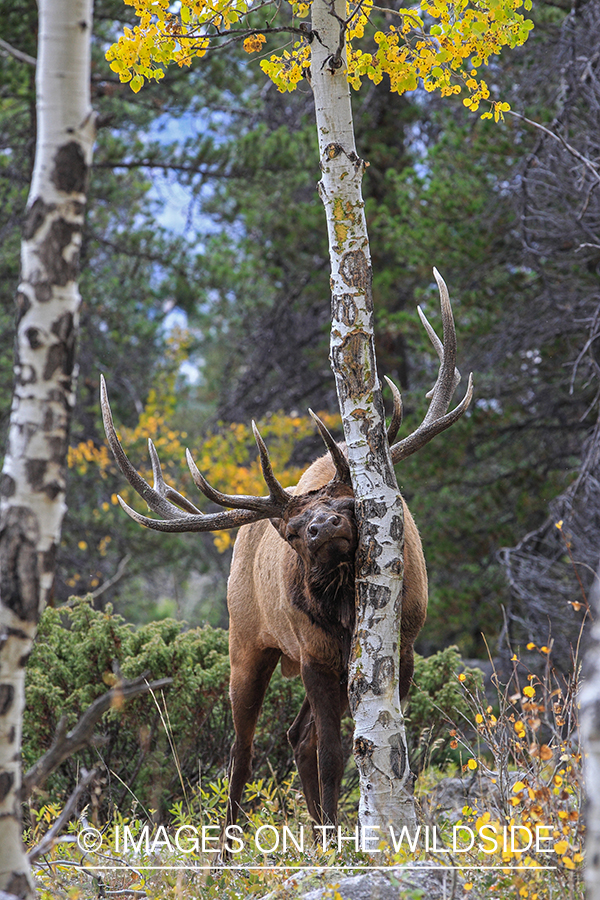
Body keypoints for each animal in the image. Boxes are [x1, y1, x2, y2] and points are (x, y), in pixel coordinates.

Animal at [100, 269, 473, 837]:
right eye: (294, 531)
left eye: (348, 503)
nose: (322, 527)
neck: (344, 611)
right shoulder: (315, 653)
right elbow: (334, 755)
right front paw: (340, 839)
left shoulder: (404, 641)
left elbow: (385, 746)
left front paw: (358, 827)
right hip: (247, 641)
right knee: (245, 750)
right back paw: (232, 848)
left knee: (296, 737)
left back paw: (315, 832)